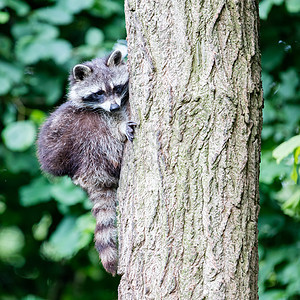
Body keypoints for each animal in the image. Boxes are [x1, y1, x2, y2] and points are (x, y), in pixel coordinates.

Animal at [37, 50, 136, 276]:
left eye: (116, 88)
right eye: (98, 93)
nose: (114, 106)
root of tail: (91, 176)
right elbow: (109, 120)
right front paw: (120, 125)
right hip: (88, 149)